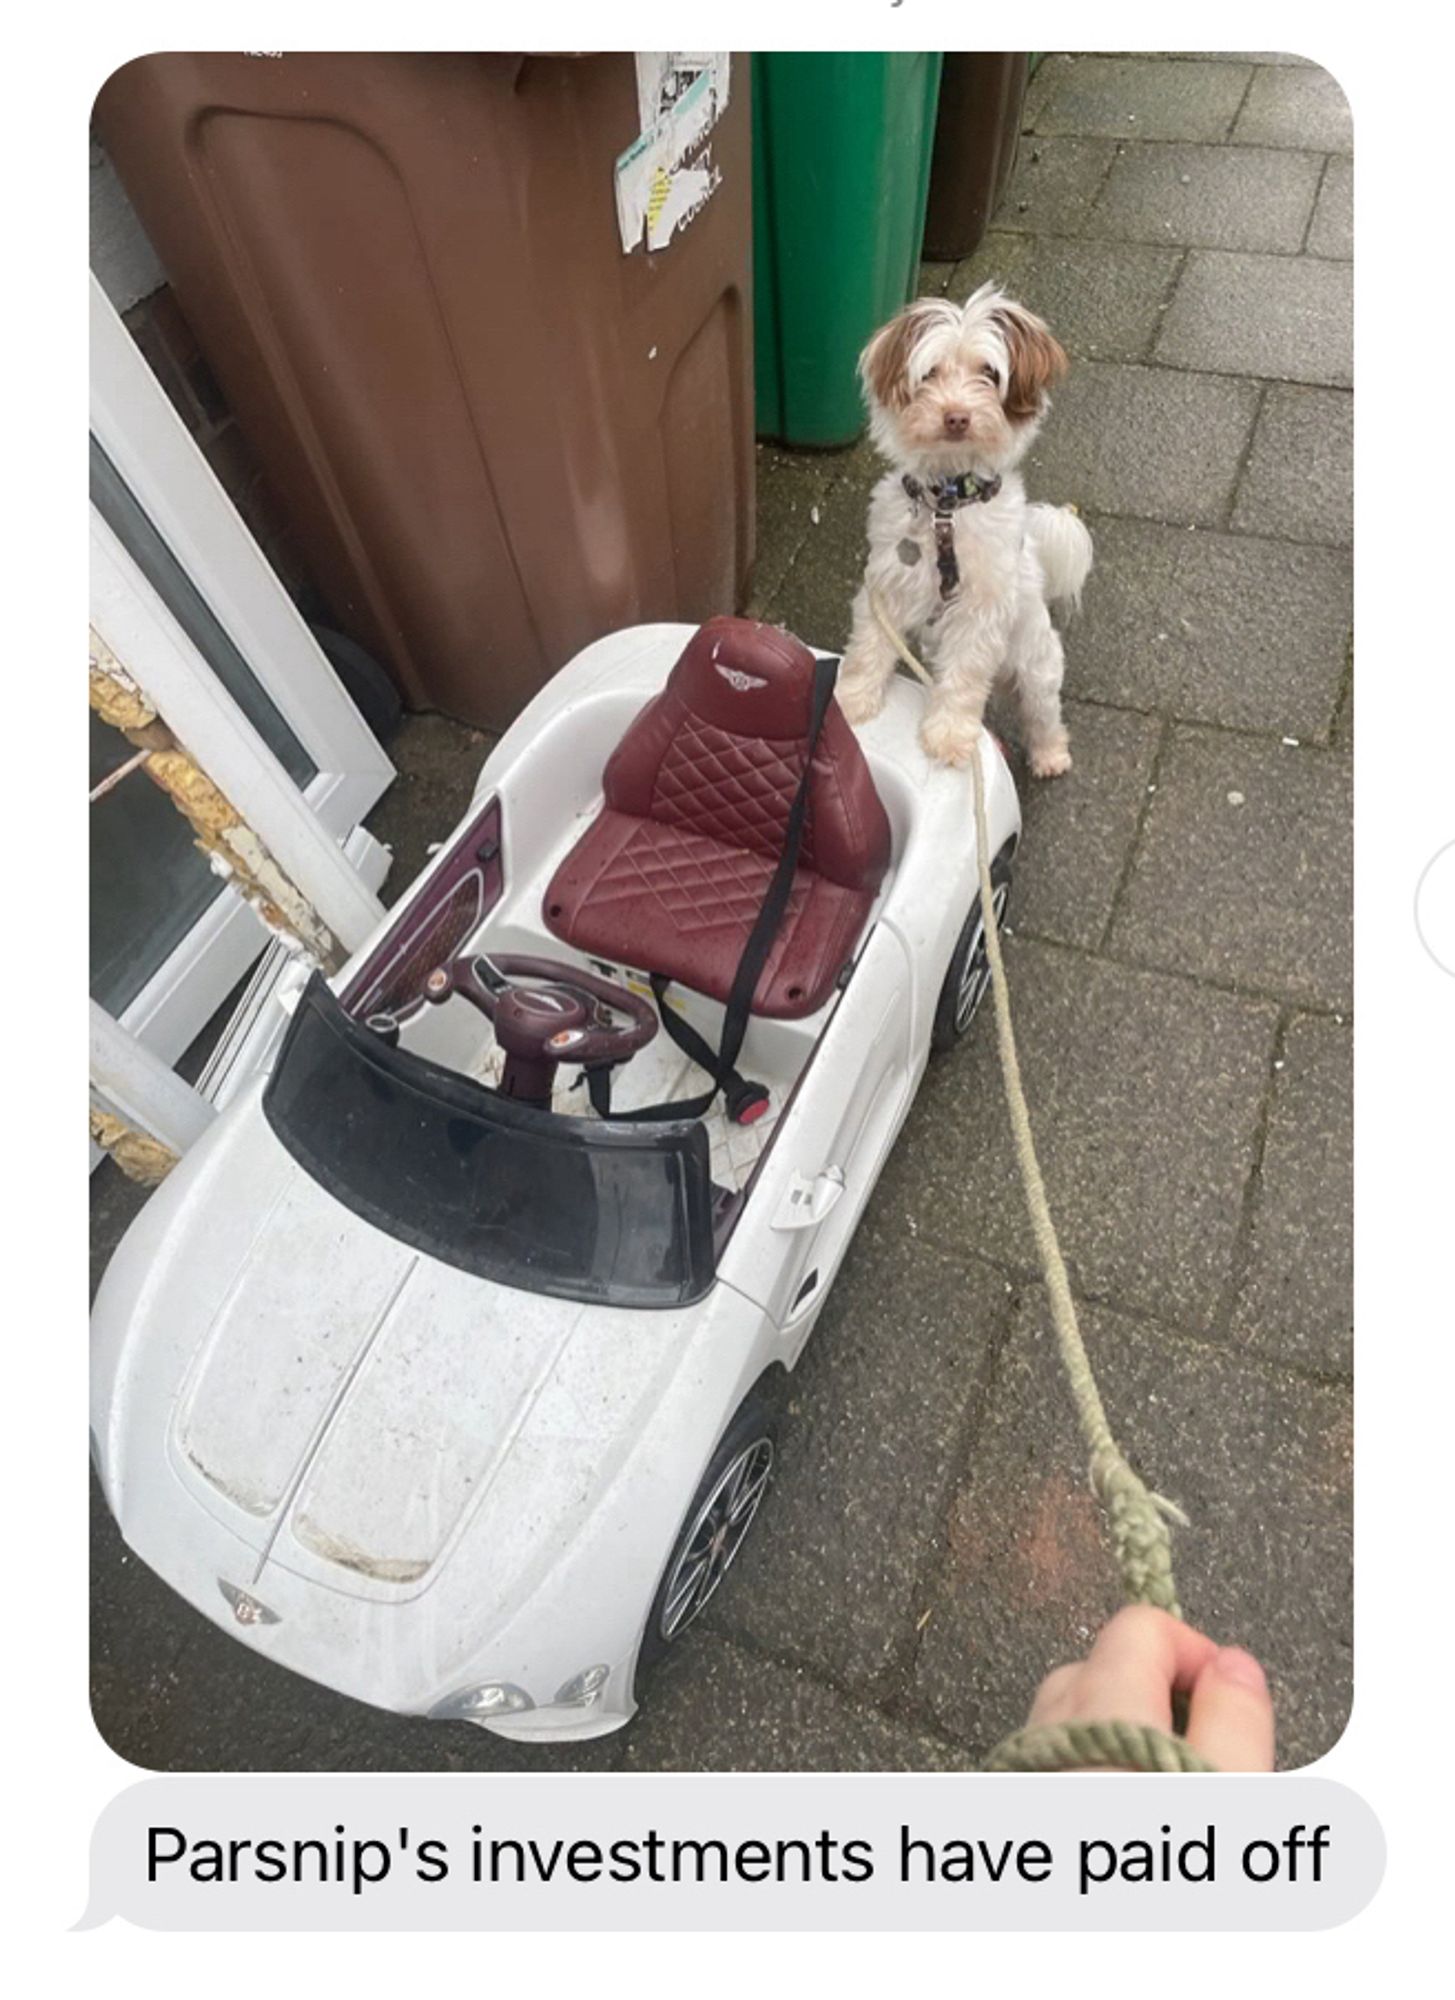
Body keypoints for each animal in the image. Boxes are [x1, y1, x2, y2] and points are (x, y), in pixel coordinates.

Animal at [835, 284, 1087, 780]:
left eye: (989, 373)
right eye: (929, 373)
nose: (956, 417)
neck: (947, 507)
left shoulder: (979, 612)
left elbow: (965, 677)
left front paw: (949, 736)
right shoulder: (886, 584)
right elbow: (869, 647)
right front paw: (852, 700)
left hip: (1039, 671)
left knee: (1043, 717)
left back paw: (1050, 756)